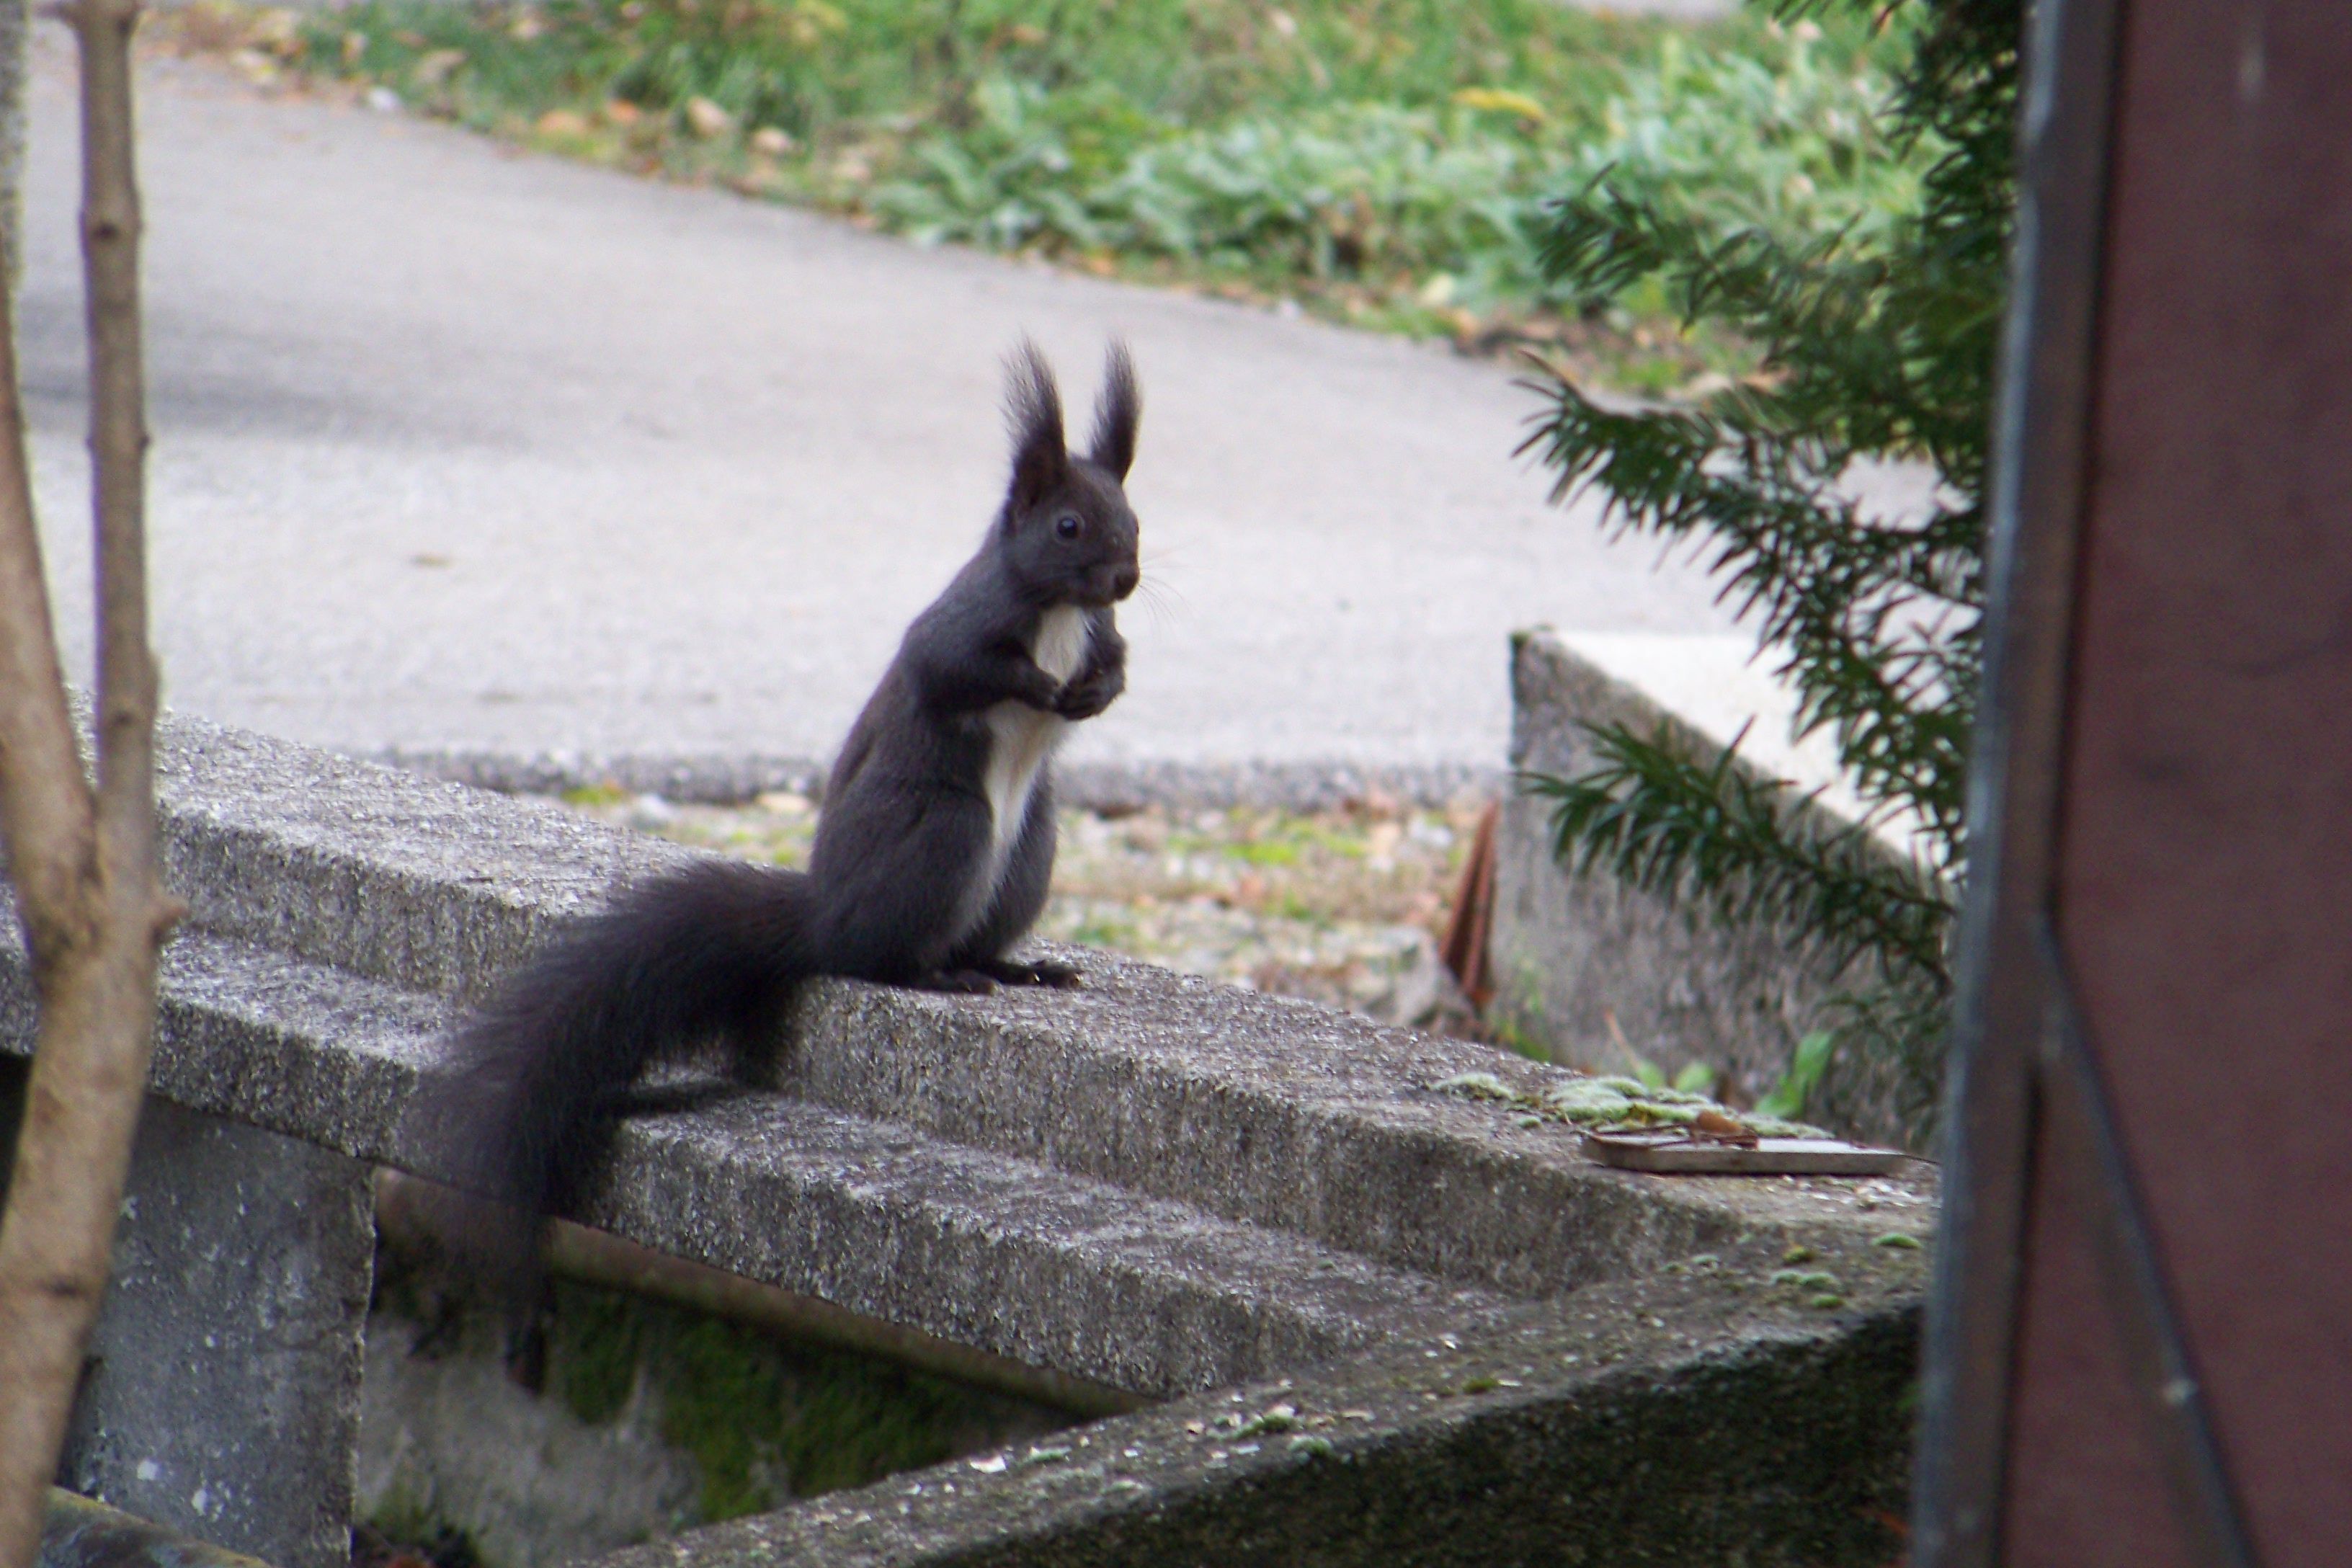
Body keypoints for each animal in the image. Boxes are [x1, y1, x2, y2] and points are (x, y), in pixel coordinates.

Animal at [442, 341, 1147, 1288]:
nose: (1128, 577)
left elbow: (1118, 665)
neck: (1065, 613)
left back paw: (1015, 968)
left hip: (1029, 851)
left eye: (1133, 516)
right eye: (1068, 526)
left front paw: (1094, 690)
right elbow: (954, 666)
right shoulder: (961, 626)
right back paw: (937, 976)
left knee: (973, 932)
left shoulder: (1100, 632)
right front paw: (1040, 685)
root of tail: (824, 913)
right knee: (880, 956)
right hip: (947, 829)